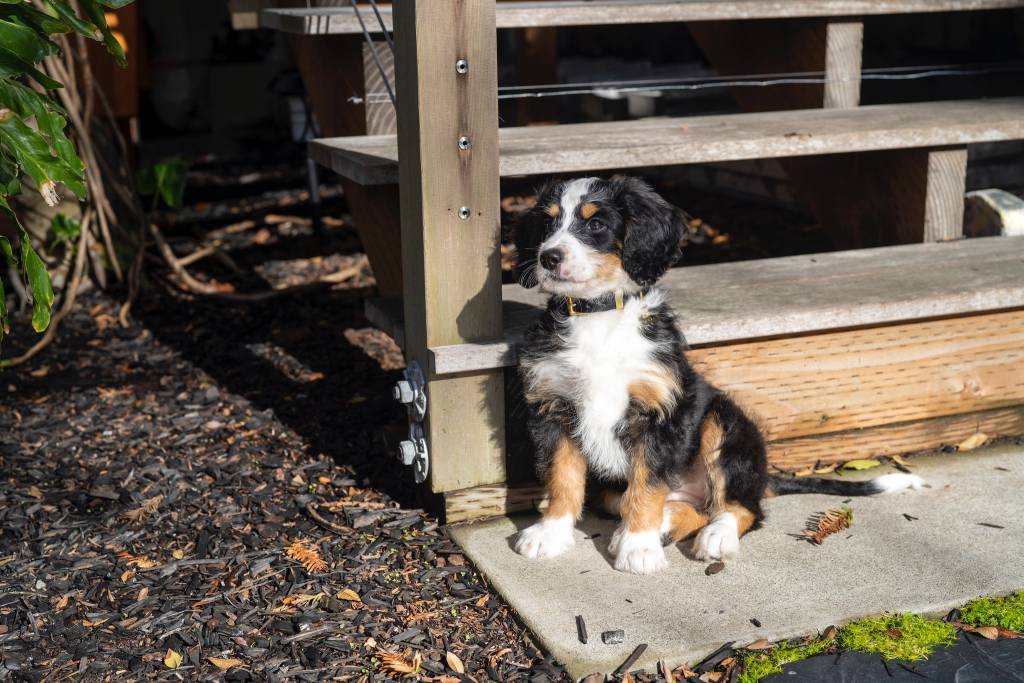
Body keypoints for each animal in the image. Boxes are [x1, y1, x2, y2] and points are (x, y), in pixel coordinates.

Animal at [513, 176, 923, 575]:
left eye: (595, 224)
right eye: (547, 224)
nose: (548, 257)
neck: (598, 317)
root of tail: (762, 478)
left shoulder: (660, 413)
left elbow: (648, 486)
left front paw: (639, 547)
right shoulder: (553, 407)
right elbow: (562, 476)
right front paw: (550, 533)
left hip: (724, 423)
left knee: (740, 508)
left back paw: (711, 536)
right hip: (618, 486)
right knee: (677, 504)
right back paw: (666, 522)